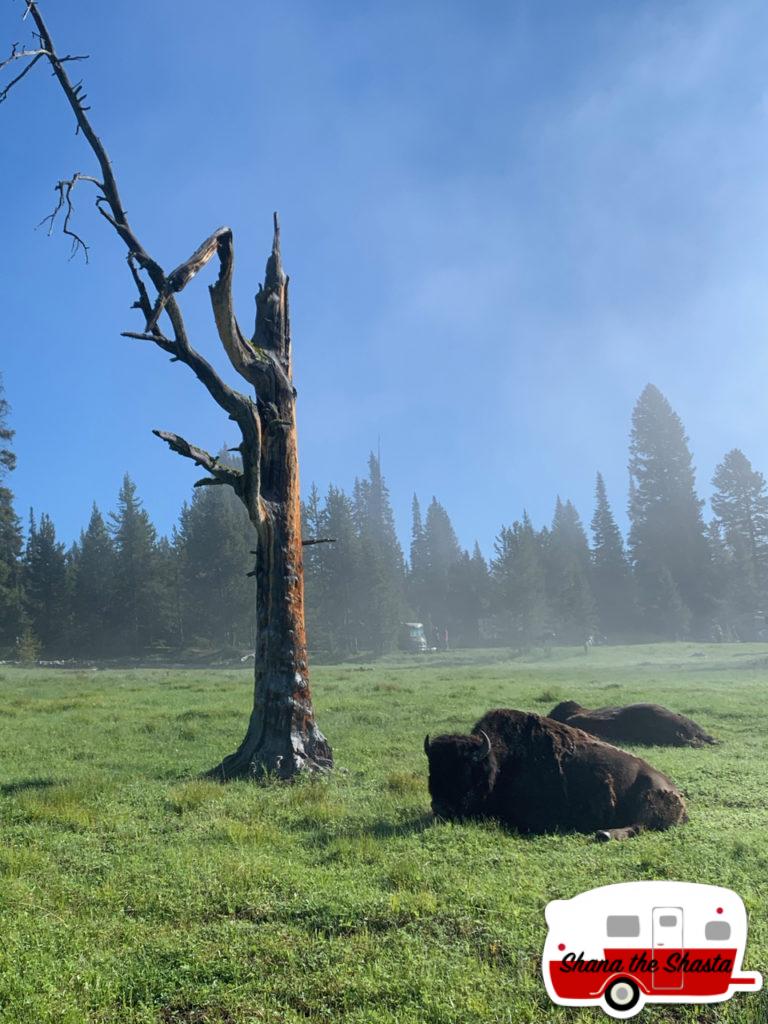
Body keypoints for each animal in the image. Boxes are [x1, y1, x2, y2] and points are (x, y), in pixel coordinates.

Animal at [423, 708, 688, 843]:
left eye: (465, 770)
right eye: (432, 770)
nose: (440, 807)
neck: (501, 760)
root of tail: (675, 791)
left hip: (649, 801)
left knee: (638, 826)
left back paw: (603, 834)